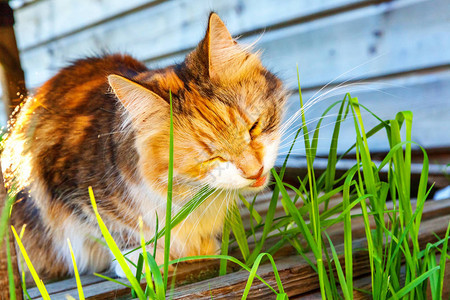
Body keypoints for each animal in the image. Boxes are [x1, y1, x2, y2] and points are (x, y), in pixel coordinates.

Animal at [0, 11, 286, 278]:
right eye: (211, 158)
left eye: (254, 127)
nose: (255, 172)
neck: (189, 195)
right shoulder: (69, 193)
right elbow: (116, 230)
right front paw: (145, 262)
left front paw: (201, 247)